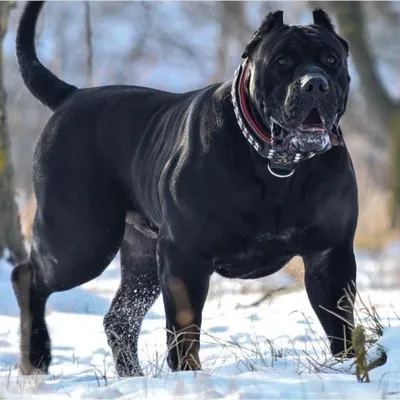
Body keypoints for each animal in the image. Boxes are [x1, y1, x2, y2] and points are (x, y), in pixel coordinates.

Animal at [12, 1, 358, 376]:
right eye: (281, 61)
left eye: (331, 60)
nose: (315, 85)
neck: (277, 164)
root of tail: (71, 95)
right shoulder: (184, 256)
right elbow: (184, 326)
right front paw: (188, 374)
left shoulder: (330, 254)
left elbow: (340, 323)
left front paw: (350, 366)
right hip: (81, 242)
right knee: (27, 275)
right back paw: (38, 357)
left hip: (141, 257)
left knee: (120, 317)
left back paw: (131, 377)